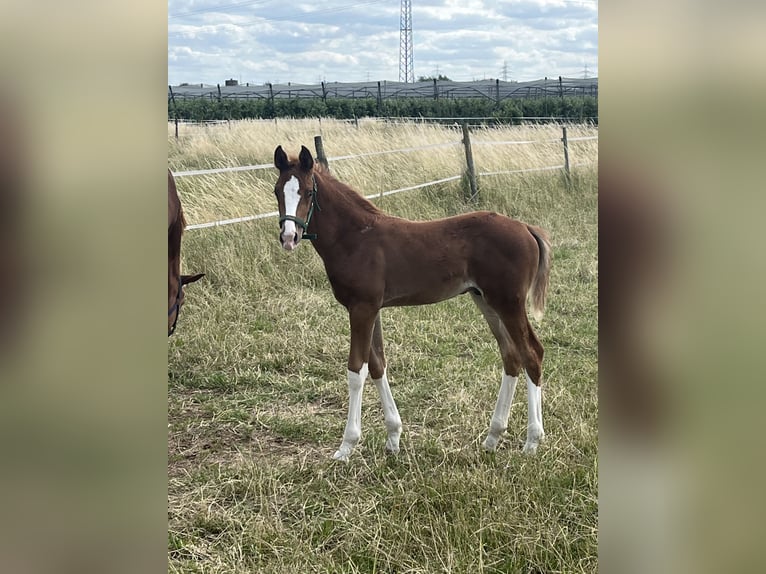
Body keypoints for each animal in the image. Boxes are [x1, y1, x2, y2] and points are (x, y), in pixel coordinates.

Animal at [272, 145, 551, 461]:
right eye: (277, 191)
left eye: (308, 192)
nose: (289, 237)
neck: (356, 238)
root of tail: (526, 228)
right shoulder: (372, 309)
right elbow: (378, 364)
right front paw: (393, 438)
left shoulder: (361, 308)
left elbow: (357, 370)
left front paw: (346, 446)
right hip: (486, 301)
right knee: (511, 355)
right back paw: (493, 437)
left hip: (509, 303)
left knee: (531, 354)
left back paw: (532, 441)